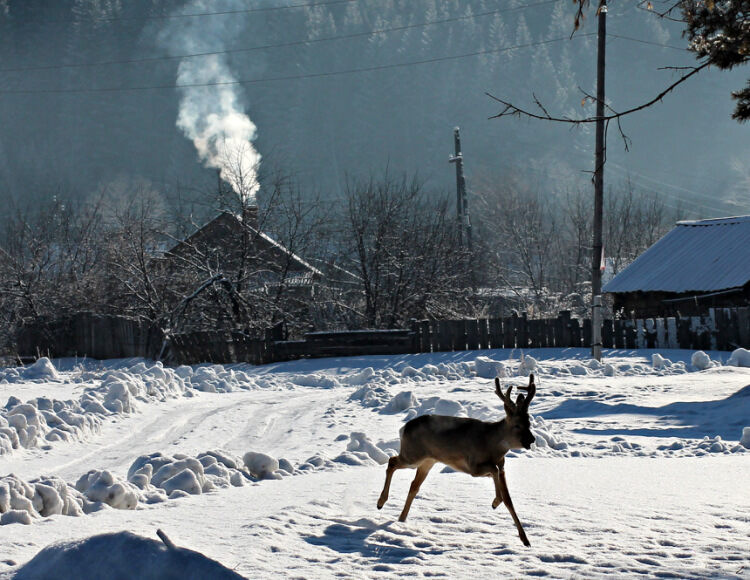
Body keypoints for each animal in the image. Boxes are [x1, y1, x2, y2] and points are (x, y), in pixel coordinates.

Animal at [378, 374, 536, 548]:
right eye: (517, 425)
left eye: (529, 422)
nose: (532, 439)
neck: (491, 444)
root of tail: (403, 429)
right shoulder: (473, 466)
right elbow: (494, 473)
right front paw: (495, 502)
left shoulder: (502, 467)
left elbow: (509, 500)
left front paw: (525, 539)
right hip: (412, 455)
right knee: (392, 461)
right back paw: (381, 502)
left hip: (428, 461)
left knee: (414, 485)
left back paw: (401, 519)